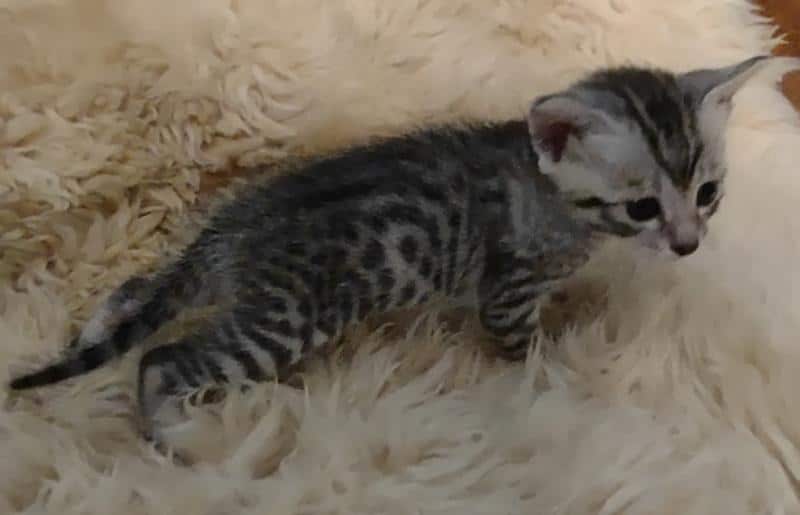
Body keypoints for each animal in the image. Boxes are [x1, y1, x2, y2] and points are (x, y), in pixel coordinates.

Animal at [9, 56, 768, 444]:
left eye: (707, 193)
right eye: (642, 207)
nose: (688, 244)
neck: (546, 189)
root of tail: (230, 230)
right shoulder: (508, 289)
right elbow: (522, 346)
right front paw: (548, 378)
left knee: (135, 290)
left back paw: (103, 322)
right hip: (285, 320)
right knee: (160, 358)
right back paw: (169, 436)